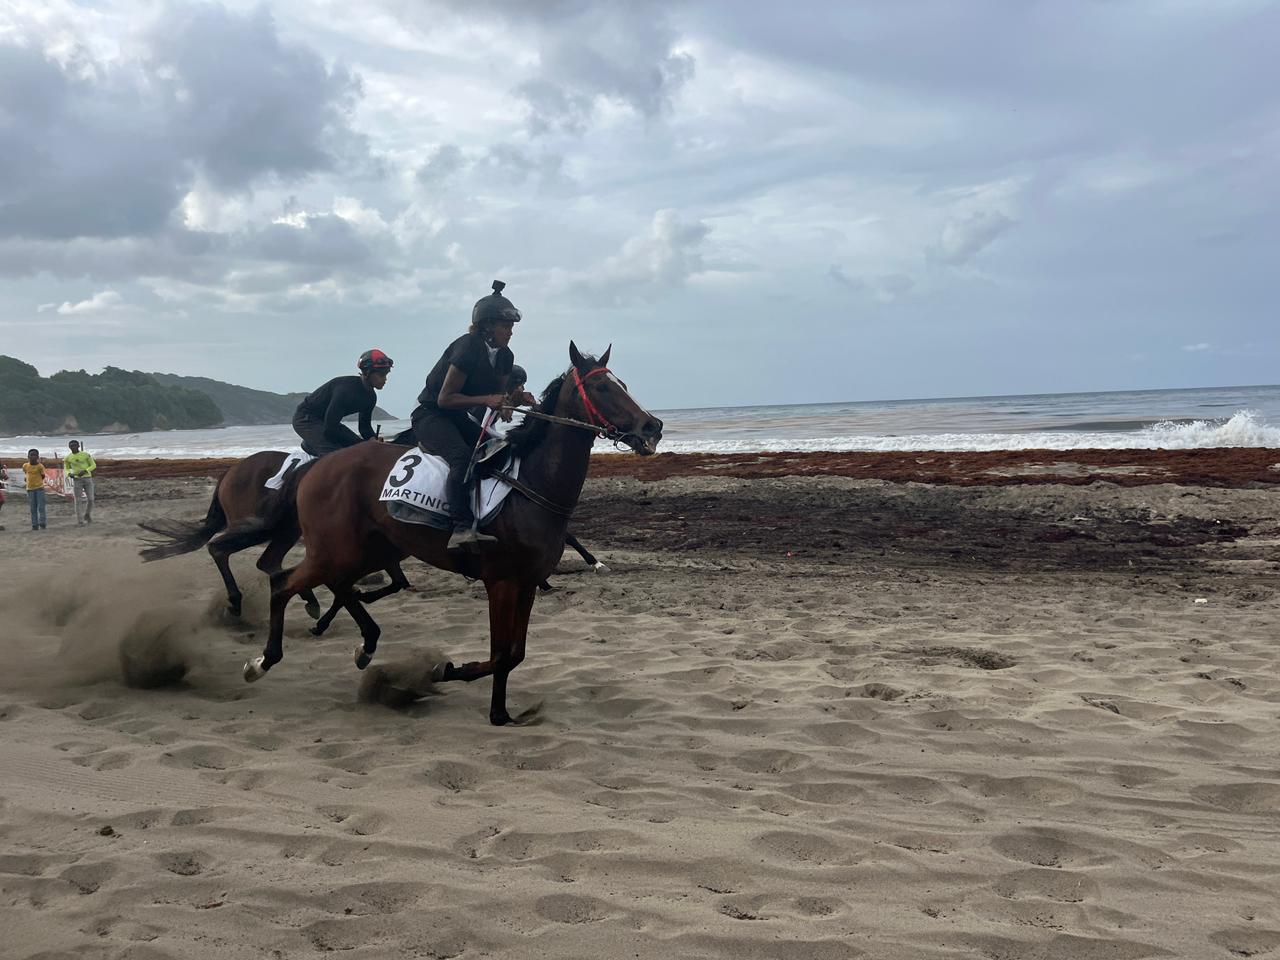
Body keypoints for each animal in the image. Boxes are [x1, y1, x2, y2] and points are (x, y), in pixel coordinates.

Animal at [216, 342, 662, 725]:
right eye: (602, 387)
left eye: (623, 384)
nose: (652, 426)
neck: (530, 486)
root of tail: (316, 466)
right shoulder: (501, 582)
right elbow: (501, 654)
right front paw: (469, 691)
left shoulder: (527, 583)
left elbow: (514, 654)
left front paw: (474, 691)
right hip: (334, 549)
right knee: (283, 583)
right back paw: (263, 659)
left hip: (368, 549)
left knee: (331, 584)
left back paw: (365, 643)